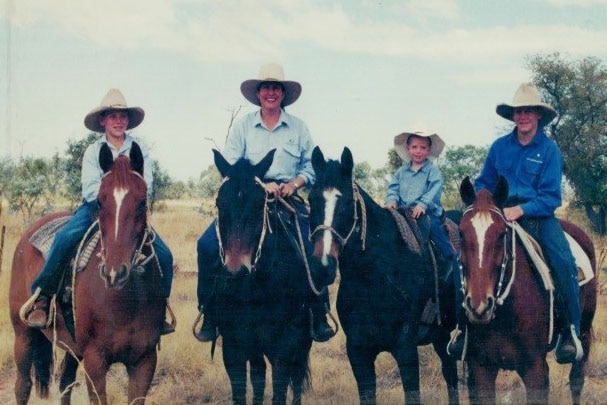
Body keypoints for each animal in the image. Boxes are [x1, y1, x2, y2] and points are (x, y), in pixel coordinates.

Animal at [9, 143, 166, 404]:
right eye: (100, 202)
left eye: (142, 202)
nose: (114, 272)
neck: (126, 302)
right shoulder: (95, 362)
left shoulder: (144, 362)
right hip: (23, 334)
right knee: (23, 385)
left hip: (73, 347)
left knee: (65, 382)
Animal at [211, 149, 330, 404]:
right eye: (219, 203)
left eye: (259, 204)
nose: (236, 270)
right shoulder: (233, 346)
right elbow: (243, 391)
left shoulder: (284, 347)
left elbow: (280, 390)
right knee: (258, 376)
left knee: (296, 379)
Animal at [306, 147, 458, 404]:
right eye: (311, 200)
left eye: (348, 203)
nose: (323, 265)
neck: (375, 278)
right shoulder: (358, 352)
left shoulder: (406, 350)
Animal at [460, 175, 600, 402]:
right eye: (461, 233)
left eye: (501, 235)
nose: (479, 306)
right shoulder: (482, 369)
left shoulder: (535, 370)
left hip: (584, 334)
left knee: (577, 381)